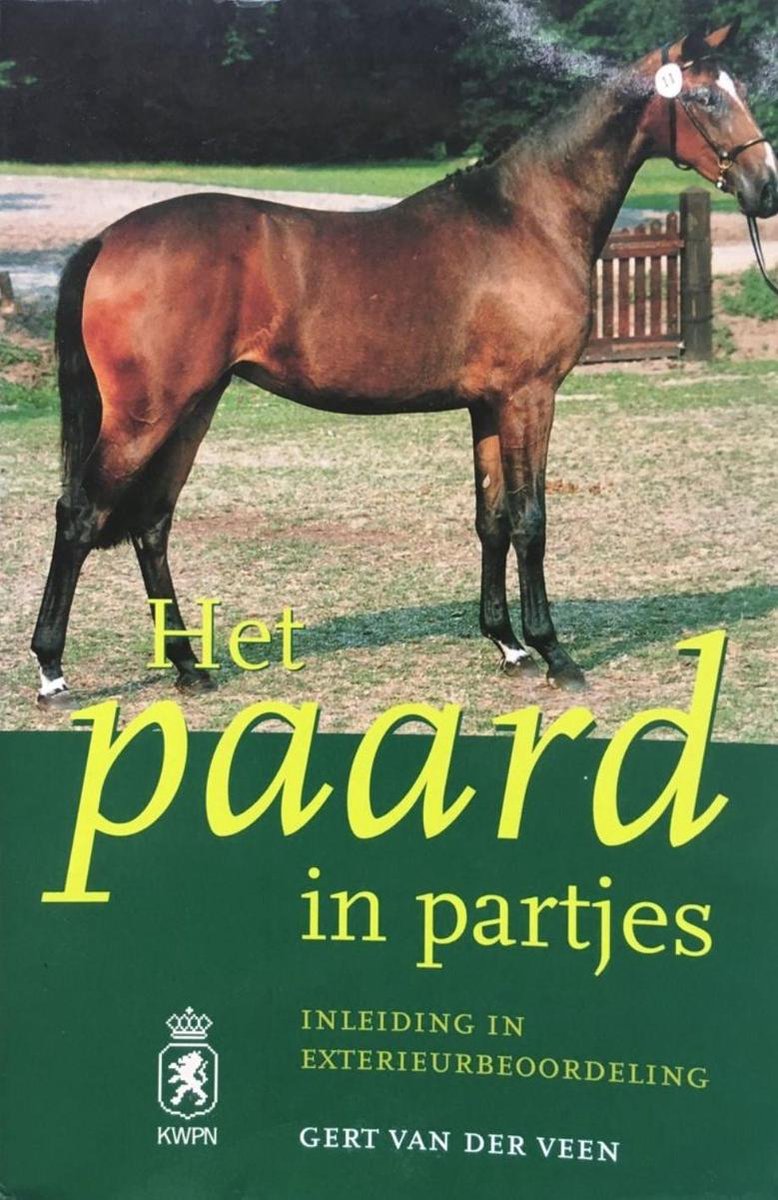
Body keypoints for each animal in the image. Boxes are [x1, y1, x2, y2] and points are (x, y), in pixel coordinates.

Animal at [30, 19, 778, 707]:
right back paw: (52, 671)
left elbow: (492, 518)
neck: (527, 219)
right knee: (80, 513)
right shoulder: (529, 397)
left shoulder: (487, 406)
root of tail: (106, 239)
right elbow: (531, 521)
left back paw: (191, 667)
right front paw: (554, 653)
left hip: (194, 408)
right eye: (706, 97)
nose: (766, 187)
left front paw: (507, 645)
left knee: (152, 524)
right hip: (147, 415)